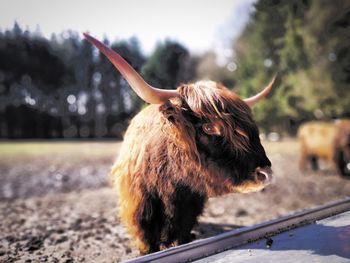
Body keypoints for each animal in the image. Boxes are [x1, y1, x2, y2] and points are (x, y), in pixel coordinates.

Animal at [83, 33, 274, 256]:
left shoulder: (189, 209)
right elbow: (148, 244)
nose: (266, 173)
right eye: (209, 127)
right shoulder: (141, 213)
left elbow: (181, 235)